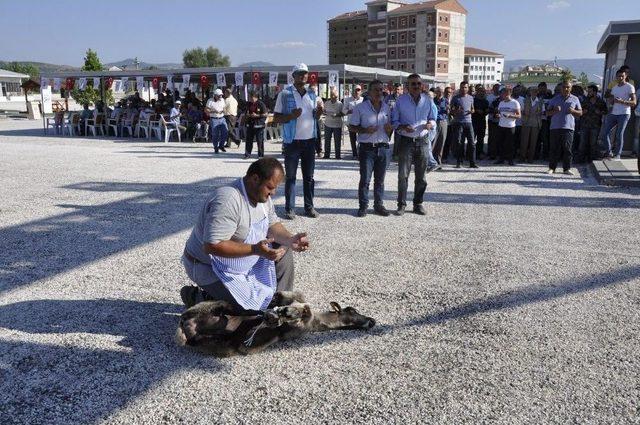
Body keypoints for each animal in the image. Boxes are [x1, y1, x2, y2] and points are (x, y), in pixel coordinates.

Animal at [175, 290, 376, 356]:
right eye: (351, 310)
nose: (372, 321)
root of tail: (186, 323)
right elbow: (296, 301)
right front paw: (283, 311)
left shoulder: (297, 329)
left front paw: (281, 314)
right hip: (210, 307)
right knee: (227, 307)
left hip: (216, 343)